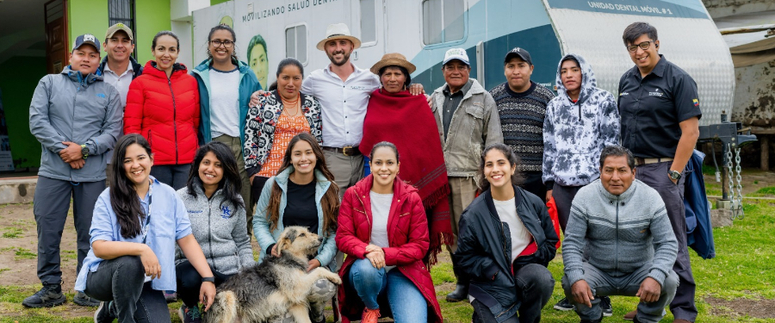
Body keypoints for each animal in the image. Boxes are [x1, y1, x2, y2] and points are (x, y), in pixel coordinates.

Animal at [205, 227, 342, 322]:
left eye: (308, 231)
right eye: (302, 234)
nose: (321, 238)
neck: (289, 258)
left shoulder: (297, 305)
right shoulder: (296, 288)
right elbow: (319, 269)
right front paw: (335, 276)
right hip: (227, 296)